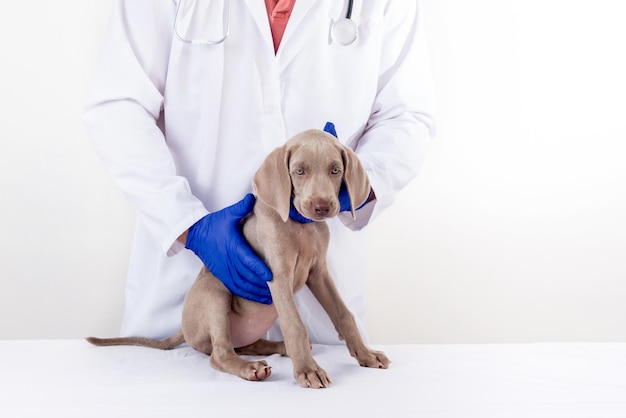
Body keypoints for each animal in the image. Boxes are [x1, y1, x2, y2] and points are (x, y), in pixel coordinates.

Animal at [86, 129, 390, 386]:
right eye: (299, 171)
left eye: (335, 170)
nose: (322, 207)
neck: (300, 225)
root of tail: (183, 328)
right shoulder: (278, 276)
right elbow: (295, 324)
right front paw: (308, 370)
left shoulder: (319, 273)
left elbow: (344, 314)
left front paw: (365, 354)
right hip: (215, 291)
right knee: (219, 353)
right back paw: (251, 367)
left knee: (243, 344)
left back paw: (277, 348)